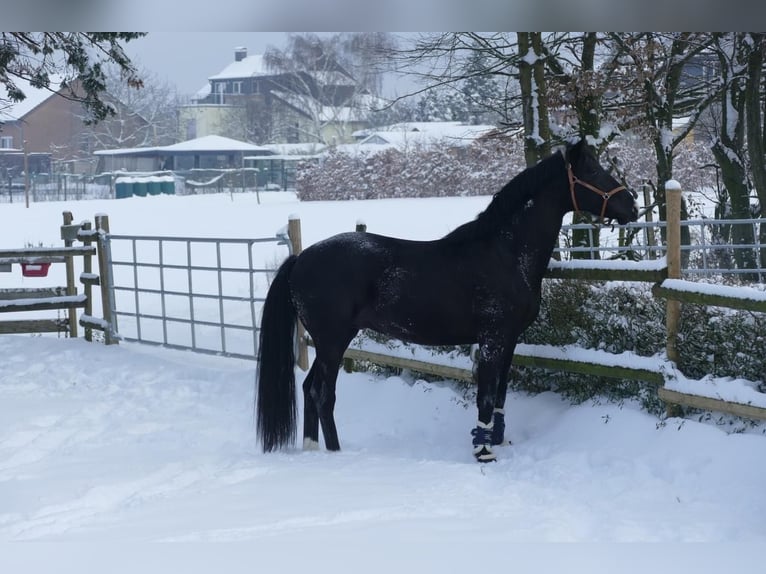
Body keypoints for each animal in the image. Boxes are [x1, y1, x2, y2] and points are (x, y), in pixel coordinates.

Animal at [255, 140, 640, 464]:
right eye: (592, 171)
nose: (632, 205)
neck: (504, 253)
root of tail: (301, 259)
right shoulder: (492, 339)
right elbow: (486, 396)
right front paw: (484, 452)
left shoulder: (510, 340)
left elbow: (500, 394)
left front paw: (497, 441)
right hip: (333, 340)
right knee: (322, 393)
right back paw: (336, 454)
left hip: (327, 343)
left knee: (309, 389)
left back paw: (312, 449)